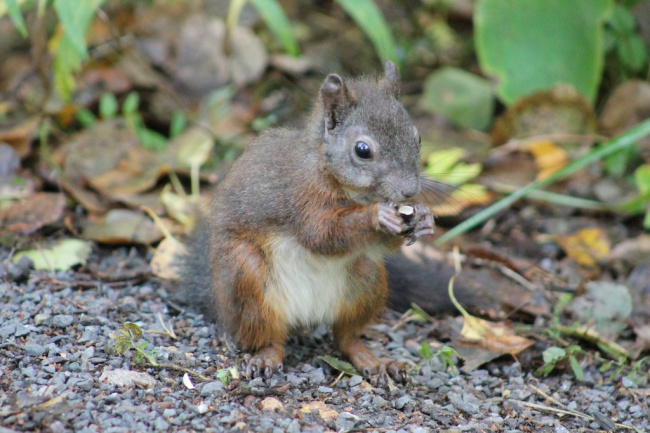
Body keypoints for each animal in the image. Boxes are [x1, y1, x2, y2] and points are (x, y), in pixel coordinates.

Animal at [178, 61, 430, 382]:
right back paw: (265, 357)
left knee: (346, 336)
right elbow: (321, 234)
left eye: (417, 138)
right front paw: (376, 216)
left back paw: (373, 361)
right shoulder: (301, 196)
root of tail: (306, 315)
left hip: (366, 280)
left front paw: (423, 219)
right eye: (362, 150)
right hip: (246, 278)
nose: (410, 190)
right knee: (268, 336)